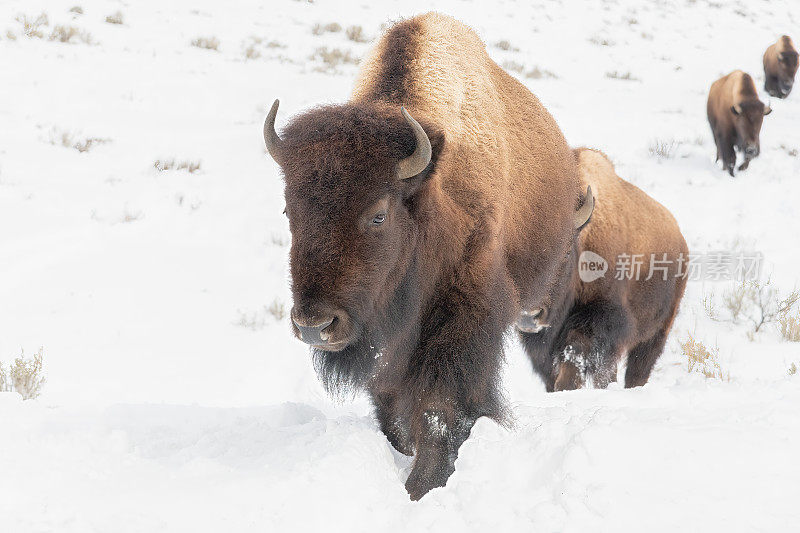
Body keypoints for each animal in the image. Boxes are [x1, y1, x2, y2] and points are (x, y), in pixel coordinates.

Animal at [260, 14, 592, 500]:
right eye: (289, 210)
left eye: (378, 214)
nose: (315, 326)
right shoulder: (385, 345)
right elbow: (391, 406)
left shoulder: (463, 318)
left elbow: (440, 406)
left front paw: (422, 487)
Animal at [520, 150, 688, 390]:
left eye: (565, 252)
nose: (528, 316)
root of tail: (680, 240)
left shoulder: (602, 320)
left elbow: (576, 354)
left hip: (656, 332)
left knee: (637, 370)